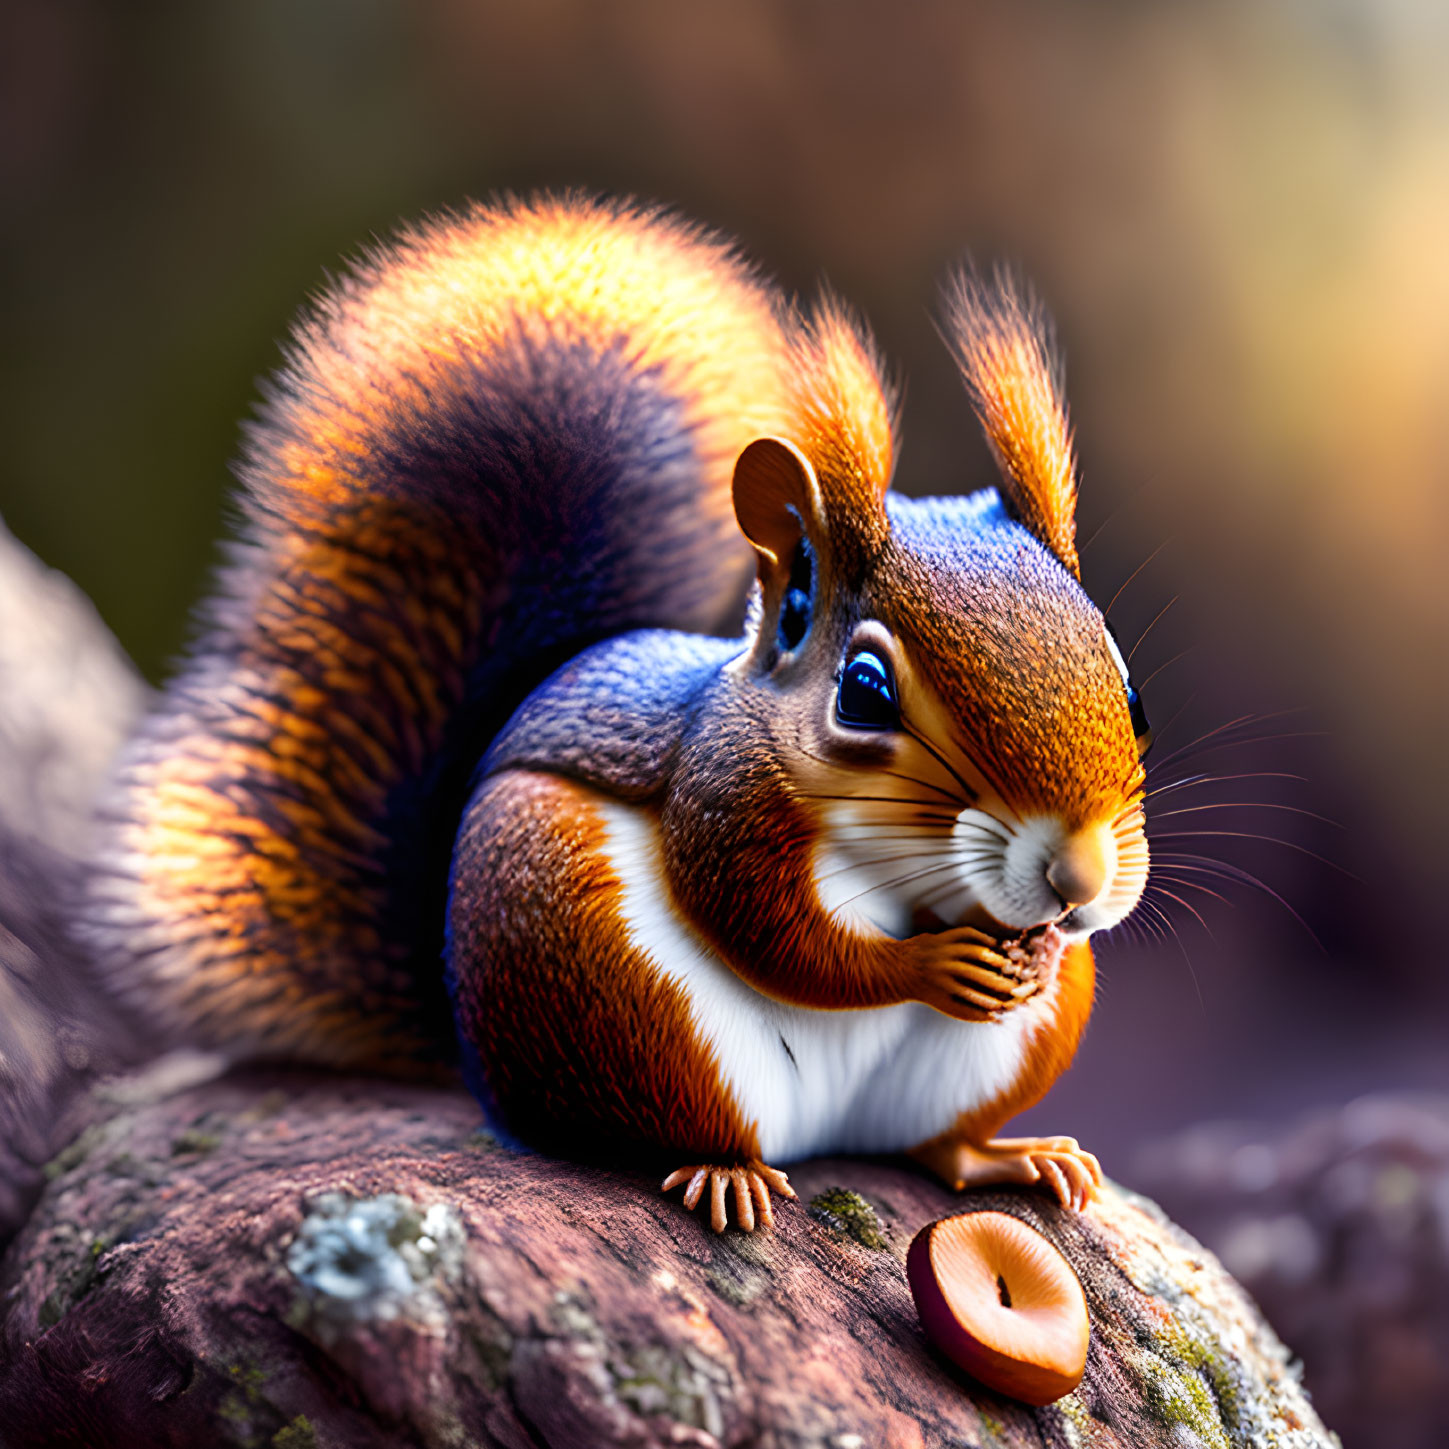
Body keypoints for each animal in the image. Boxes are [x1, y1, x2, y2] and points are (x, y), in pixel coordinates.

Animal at [82, 195, 1153, 1234]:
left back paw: (1011, 1154)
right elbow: (774, 935)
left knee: (933, 1146)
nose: (1076, 880)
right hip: (600, 969)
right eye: (862, 691)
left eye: (1132, 691)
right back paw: (727, 1174)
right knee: (671, 1121)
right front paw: (932, 962)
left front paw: (1040, 943)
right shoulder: (721, 796)